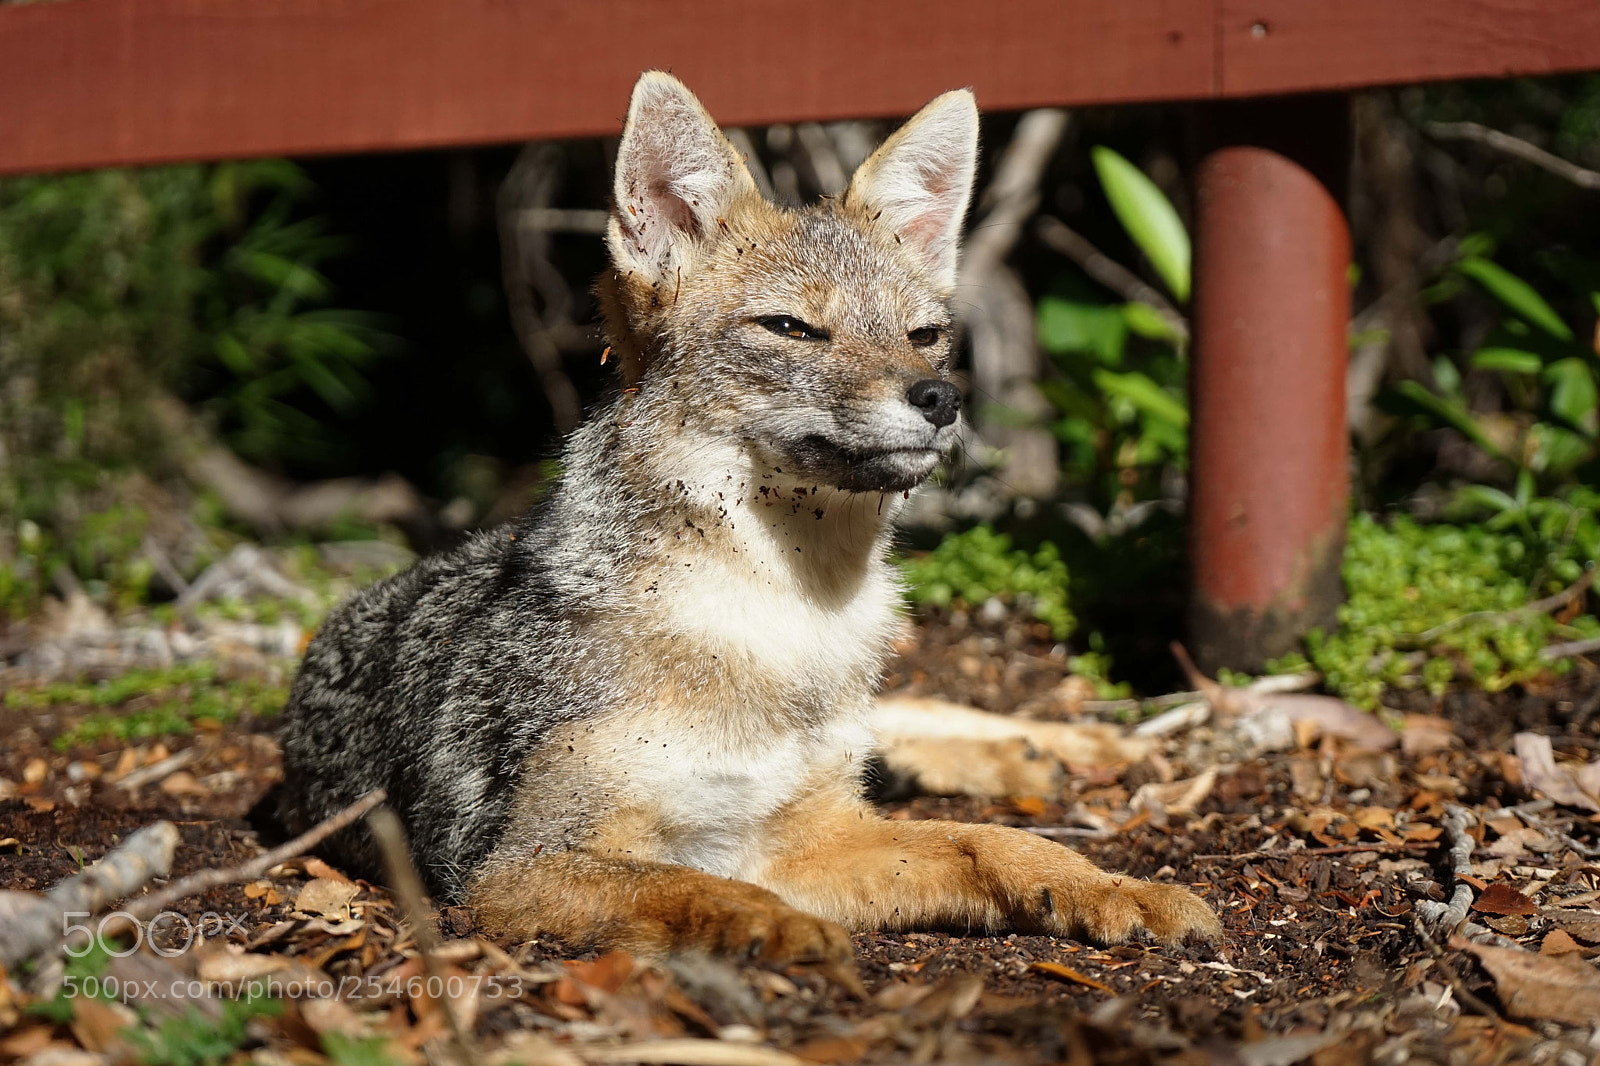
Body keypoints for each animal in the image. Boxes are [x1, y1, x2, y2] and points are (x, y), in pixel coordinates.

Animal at [276, 71, 1221, 969]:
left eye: (924, 336)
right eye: (792, 328)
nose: (941, 398)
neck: (788, 625)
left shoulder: (812, 829)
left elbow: (988, 841)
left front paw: (1107, 883)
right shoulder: (519, 867)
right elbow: (688, 885)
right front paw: (776, 928)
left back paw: (1058, 746)